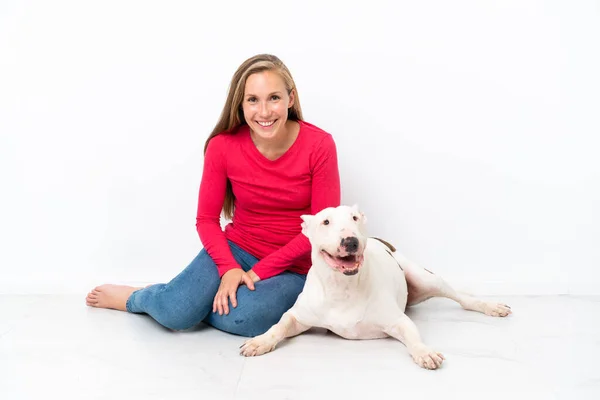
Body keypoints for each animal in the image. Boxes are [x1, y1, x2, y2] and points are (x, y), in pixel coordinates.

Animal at [239, 205, 510, 370]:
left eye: (354, 218)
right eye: (325, 222)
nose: (350, 240)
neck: (343, 286)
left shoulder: (397, 321)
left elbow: (413, 337)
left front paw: (424, 352)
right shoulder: (298, 316)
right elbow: (280, 325)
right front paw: (259, 341)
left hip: (425, 278)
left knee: (462, 297)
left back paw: (491, 306)